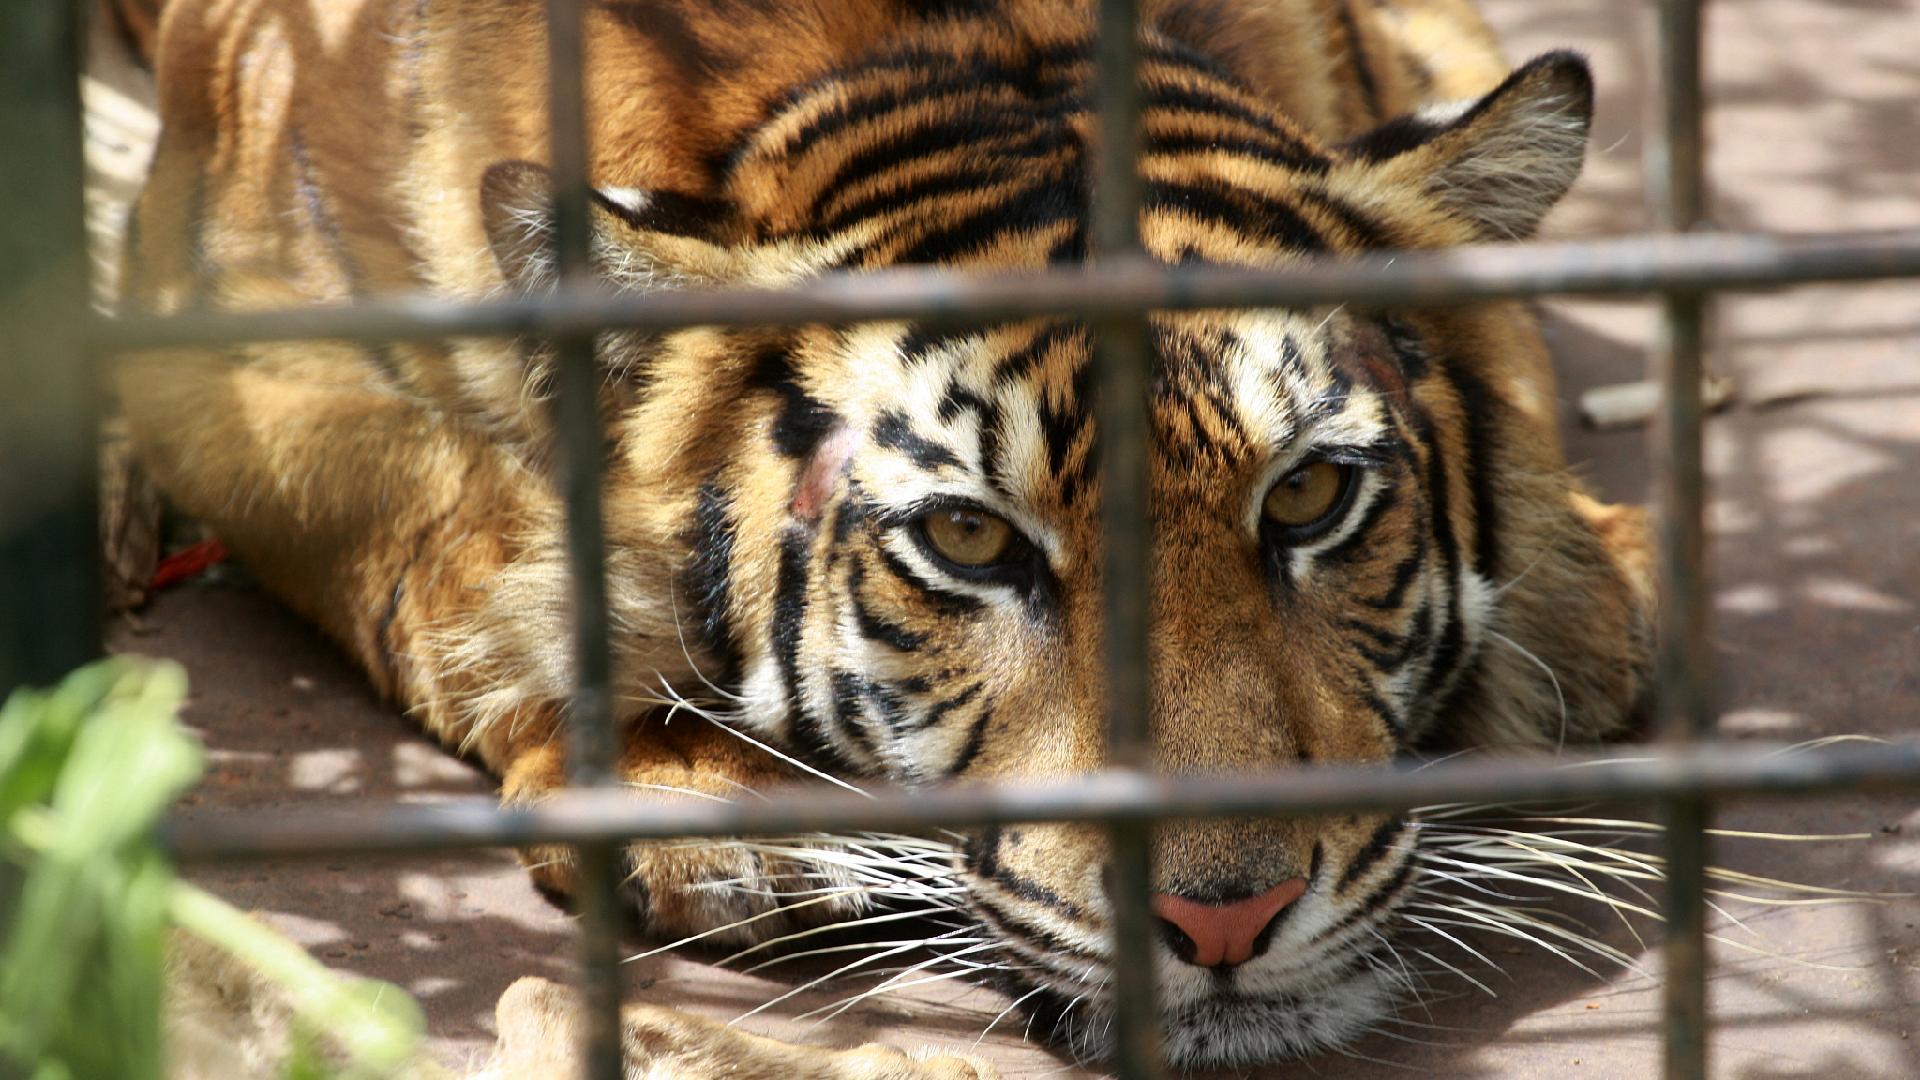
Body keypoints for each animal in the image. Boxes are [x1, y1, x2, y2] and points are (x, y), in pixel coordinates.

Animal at [112, 0, 1658, 1060]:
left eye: (1308, 498)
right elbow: (458, 554)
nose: (1226, 917)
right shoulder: (236, 356)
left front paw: (1582, 616)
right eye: (971, 542)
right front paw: (695, 805)